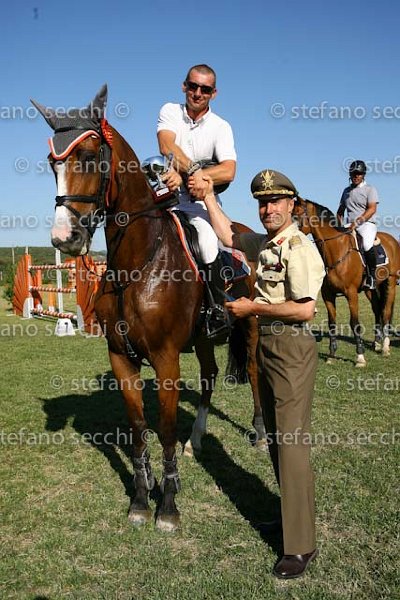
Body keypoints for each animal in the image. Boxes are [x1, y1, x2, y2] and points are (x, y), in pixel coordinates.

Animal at [31, 85, 265, 531]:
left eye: (90, 156)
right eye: (52, 163)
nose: (64, 238)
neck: (139, 264)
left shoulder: (166, 358)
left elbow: (166, 428)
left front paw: (168, 504)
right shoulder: (122, 358)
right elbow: (140, 429)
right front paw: (141, 496)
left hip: (254, 327)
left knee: (256, 374)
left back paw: (261, 433)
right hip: (204, 339)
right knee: (209, 376)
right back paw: (198, 439)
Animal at [293, 197, 400, 366]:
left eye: (296, 216)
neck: (336, 251)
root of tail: (392, 240)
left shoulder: (351, 293)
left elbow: (354, 323)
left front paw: (360, 357)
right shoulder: (328, 295)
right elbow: (331, 323)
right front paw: (331, 355)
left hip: (390, 283)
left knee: (386, 312)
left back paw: (385, 347)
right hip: (370, 289)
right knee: (377, 309)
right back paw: (377, 343)